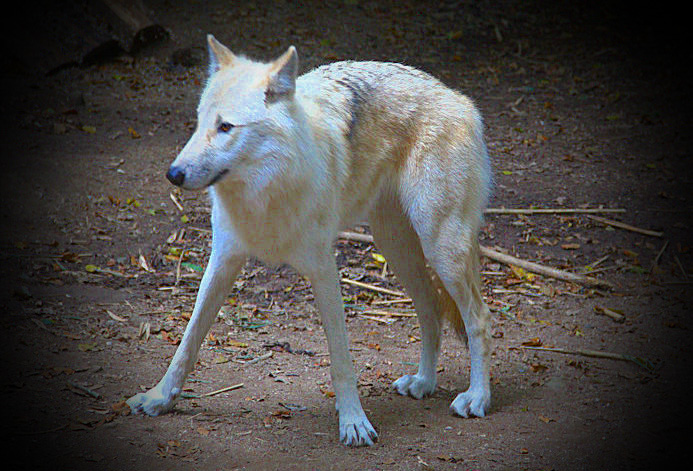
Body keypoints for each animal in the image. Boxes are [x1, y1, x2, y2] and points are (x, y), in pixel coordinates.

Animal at [128, 35, 492, 448]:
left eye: (226, 127)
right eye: (200, 122)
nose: (173, 174)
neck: (265, 192)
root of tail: (460, 100)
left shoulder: (323, 268)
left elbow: (341, 359)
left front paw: (354, 423)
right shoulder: (221, 261)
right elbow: (186, 343)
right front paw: (158, 398)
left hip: (441, 248)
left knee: (478, 318)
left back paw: (477, 398)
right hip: (397, 249)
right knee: (431, 309)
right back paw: (424, 383)